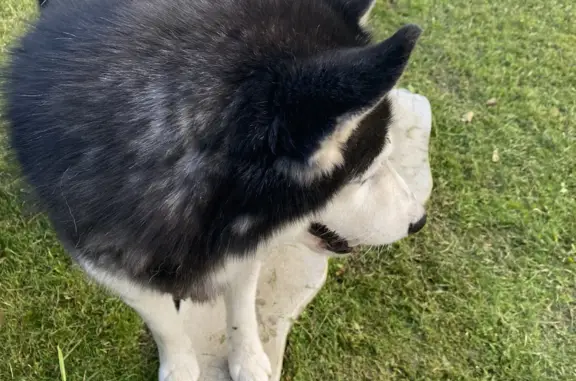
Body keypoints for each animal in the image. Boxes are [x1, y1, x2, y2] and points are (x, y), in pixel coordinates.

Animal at [3, 0, 428, 380]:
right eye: (366, 174)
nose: (419, 221)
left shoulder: (242, 247)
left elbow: (240, 306)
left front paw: (249, 360)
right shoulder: (107, 263)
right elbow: (165, 324)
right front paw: (180, 366)